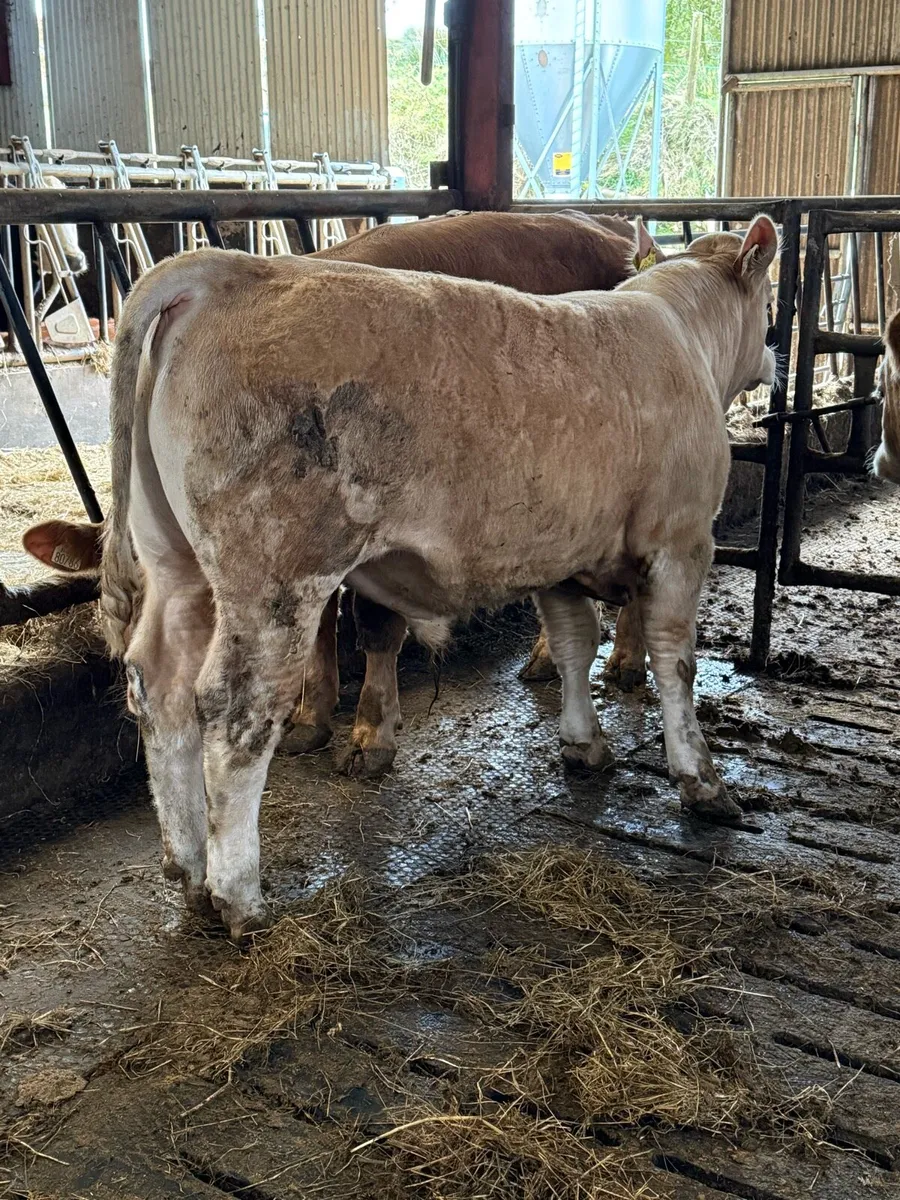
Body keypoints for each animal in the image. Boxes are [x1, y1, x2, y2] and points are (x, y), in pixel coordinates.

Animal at [96, 215, 777, 939]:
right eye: (767, 300)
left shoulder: (560, 553)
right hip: (275, 577)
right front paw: (701, 780)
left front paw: (583, 744)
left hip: (177, 563)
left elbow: (573, 644)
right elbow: (675, 662)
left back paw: (188, 869)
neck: (680, 333)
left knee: (159, 684)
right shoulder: (681, 540)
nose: (773, 356)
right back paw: (239, 897)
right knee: (235, 710)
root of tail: (228, 270)